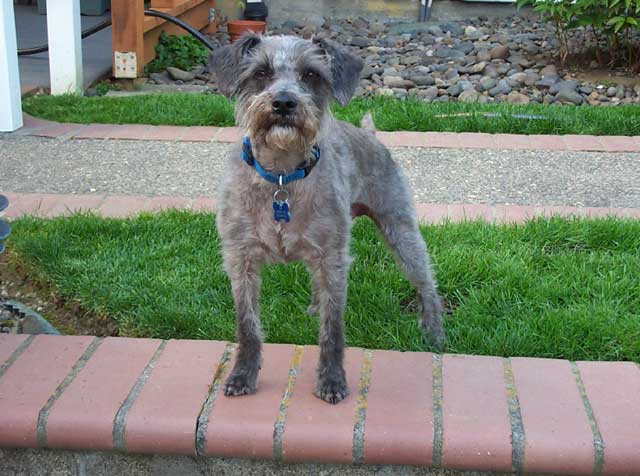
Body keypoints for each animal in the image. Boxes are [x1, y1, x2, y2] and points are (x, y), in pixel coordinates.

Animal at [210, 33, 444, 404]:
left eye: (311, 74)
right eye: (260, 72)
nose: (284, 103)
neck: (282, 178)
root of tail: (371, 136)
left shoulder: (333, 258)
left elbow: (332, 329)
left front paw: (332, 380)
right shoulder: (240, 258)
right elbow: (247, 326)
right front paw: (243, 375)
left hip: (401, 230)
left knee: (426, 282)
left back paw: (434, 330)